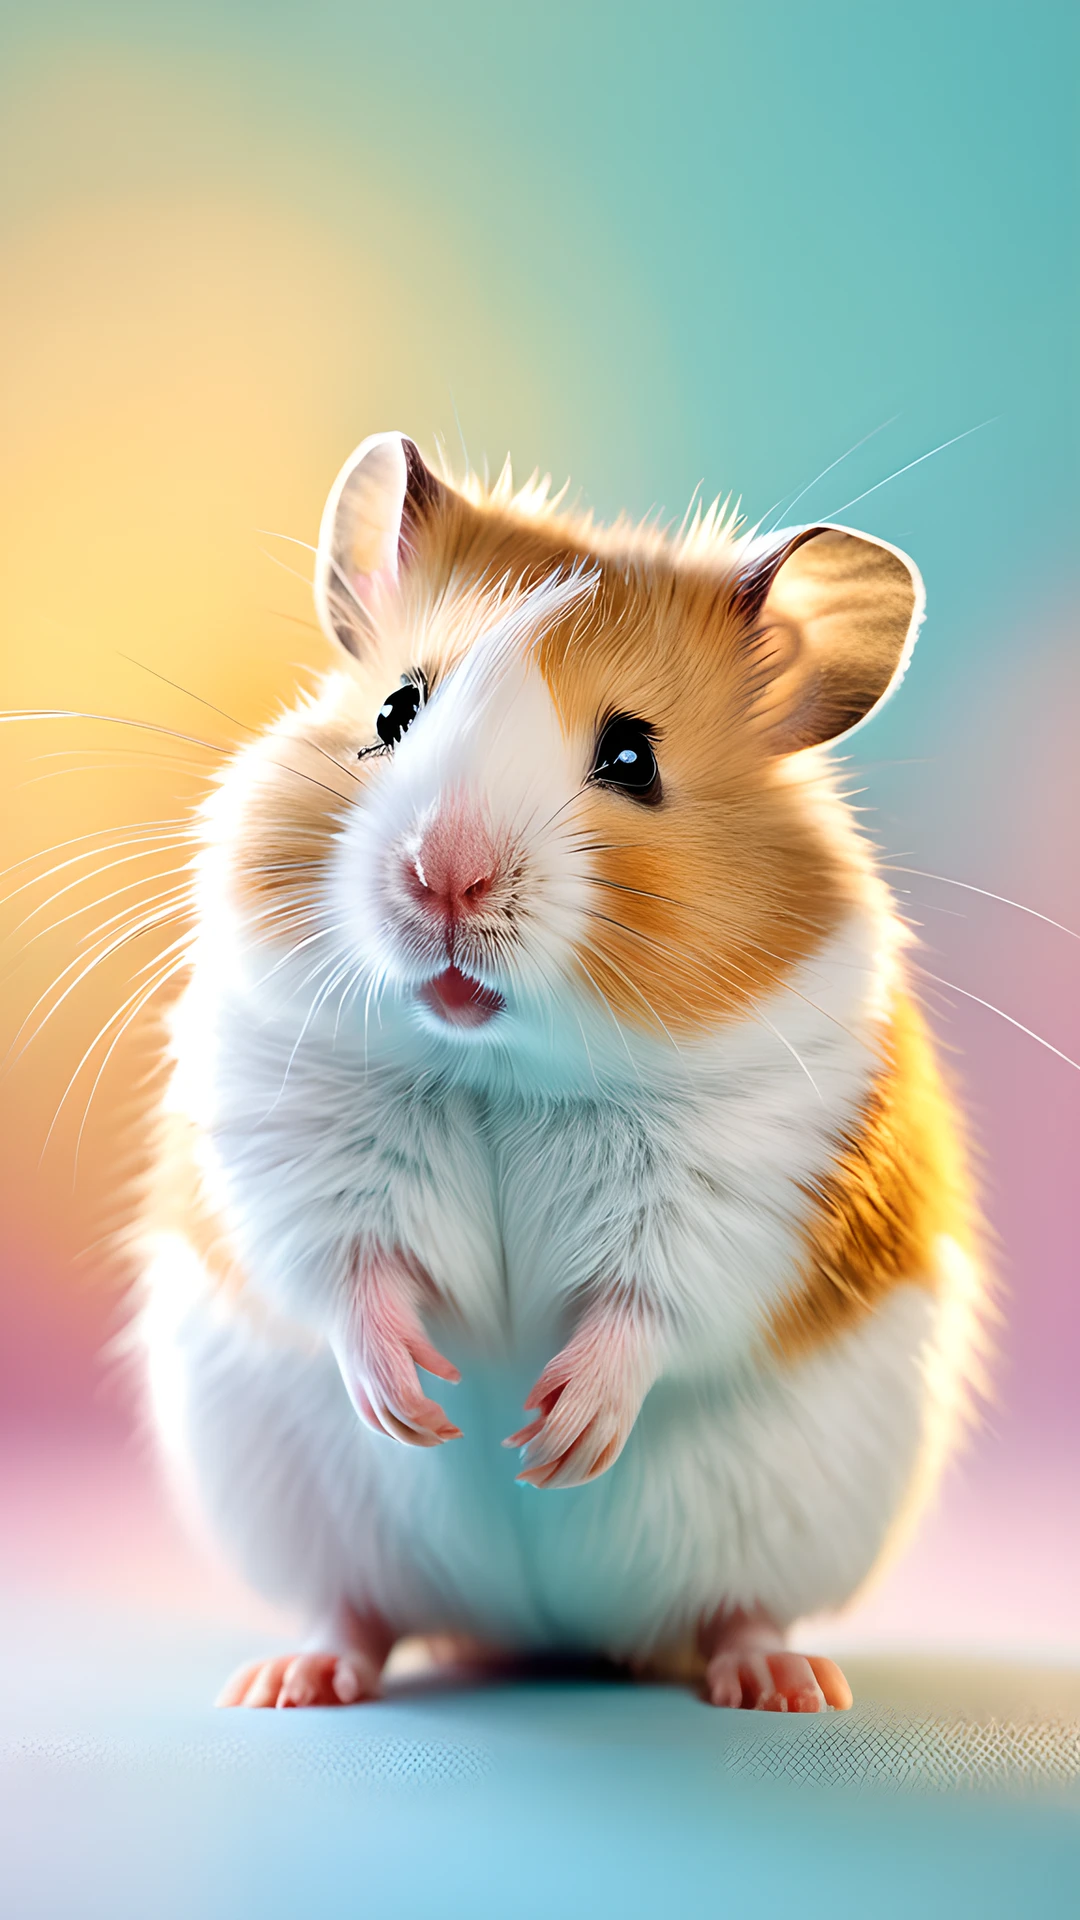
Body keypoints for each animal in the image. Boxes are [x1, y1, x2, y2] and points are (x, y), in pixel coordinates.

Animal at [136, 431, 981, 1713]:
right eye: (394, 708)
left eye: (633, 756)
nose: (444, 875)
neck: (499, 1066)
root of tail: (550, 1636)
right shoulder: (288, 1124)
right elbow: (346, 1269)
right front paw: (417, 1404)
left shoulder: (746, 1177)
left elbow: (652, 1302)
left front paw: (555, 1440)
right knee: (362, 1609)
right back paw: (292, 1678)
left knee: (732, 1611)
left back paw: (781, 1682)